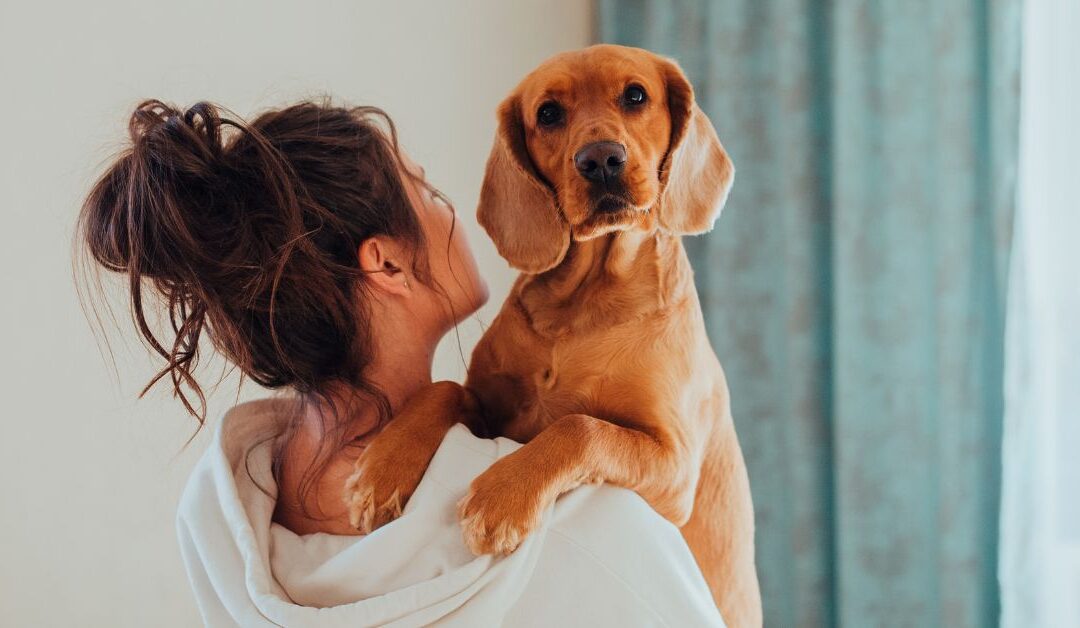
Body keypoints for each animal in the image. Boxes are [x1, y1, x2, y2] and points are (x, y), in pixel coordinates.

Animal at [343, 42, 760, 622]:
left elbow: (579, 427)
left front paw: (501, 497)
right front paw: (381, 470)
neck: (583, 304)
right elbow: (442, 389)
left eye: (636, 96)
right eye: (548, 114)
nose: (601, 160)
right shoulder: (488, 409)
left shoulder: (674, 465)